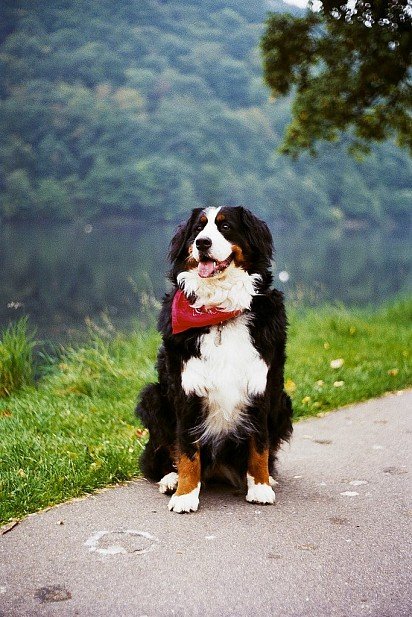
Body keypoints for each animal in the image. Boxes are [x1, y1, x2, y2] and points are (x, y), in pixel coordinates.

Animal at [136, 205, 292, 512]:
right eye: (198, 229)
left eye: (226, 227)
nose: (202, 243)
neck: (220, 313)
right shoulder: (186, 388)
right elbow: (186, 448)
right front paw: (185, 494)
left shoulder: (261, 385)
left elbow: (260, 444)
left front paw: (260, 486)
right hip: (153, 397)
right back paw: (171, 479)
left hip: (284, 402)